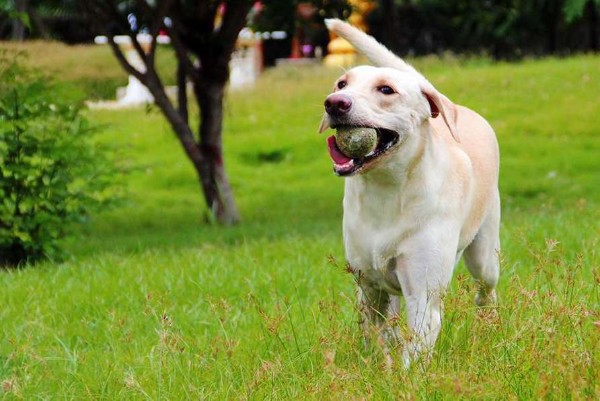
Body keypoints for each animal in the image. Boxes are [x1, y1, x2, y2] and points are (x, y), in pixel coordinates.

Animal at [318, 19, 502, 366]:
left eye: (386, 90)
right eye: (341, 83)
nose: (335, 102)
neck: (387, 189)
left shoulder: (423, 294)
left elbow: (413, 351)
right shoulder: (370, 287)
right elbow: (379, 336)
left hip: (485, 253)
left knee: (486, 289)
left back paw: (490, 328)